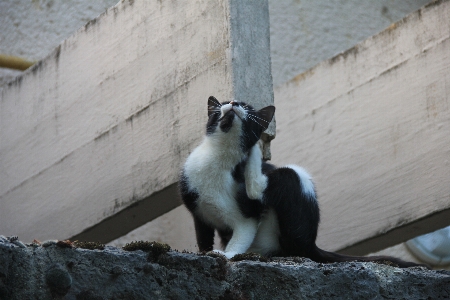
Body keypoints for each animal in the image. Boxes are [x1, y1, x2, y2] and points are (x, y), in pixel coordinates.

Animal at [178, 95, 422, 268]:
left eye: (247, 106)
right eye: (223, 103)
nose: (233, 102)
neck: (220, 158)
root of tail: (312, 244)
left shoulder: (247, 216)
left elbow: (241, 234)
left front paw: (226, 253)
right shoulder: (198, 210)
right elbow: (203, 236)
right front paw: (205, 251)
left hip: (294, 184)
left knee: (272, 187)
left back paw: (256, 152)